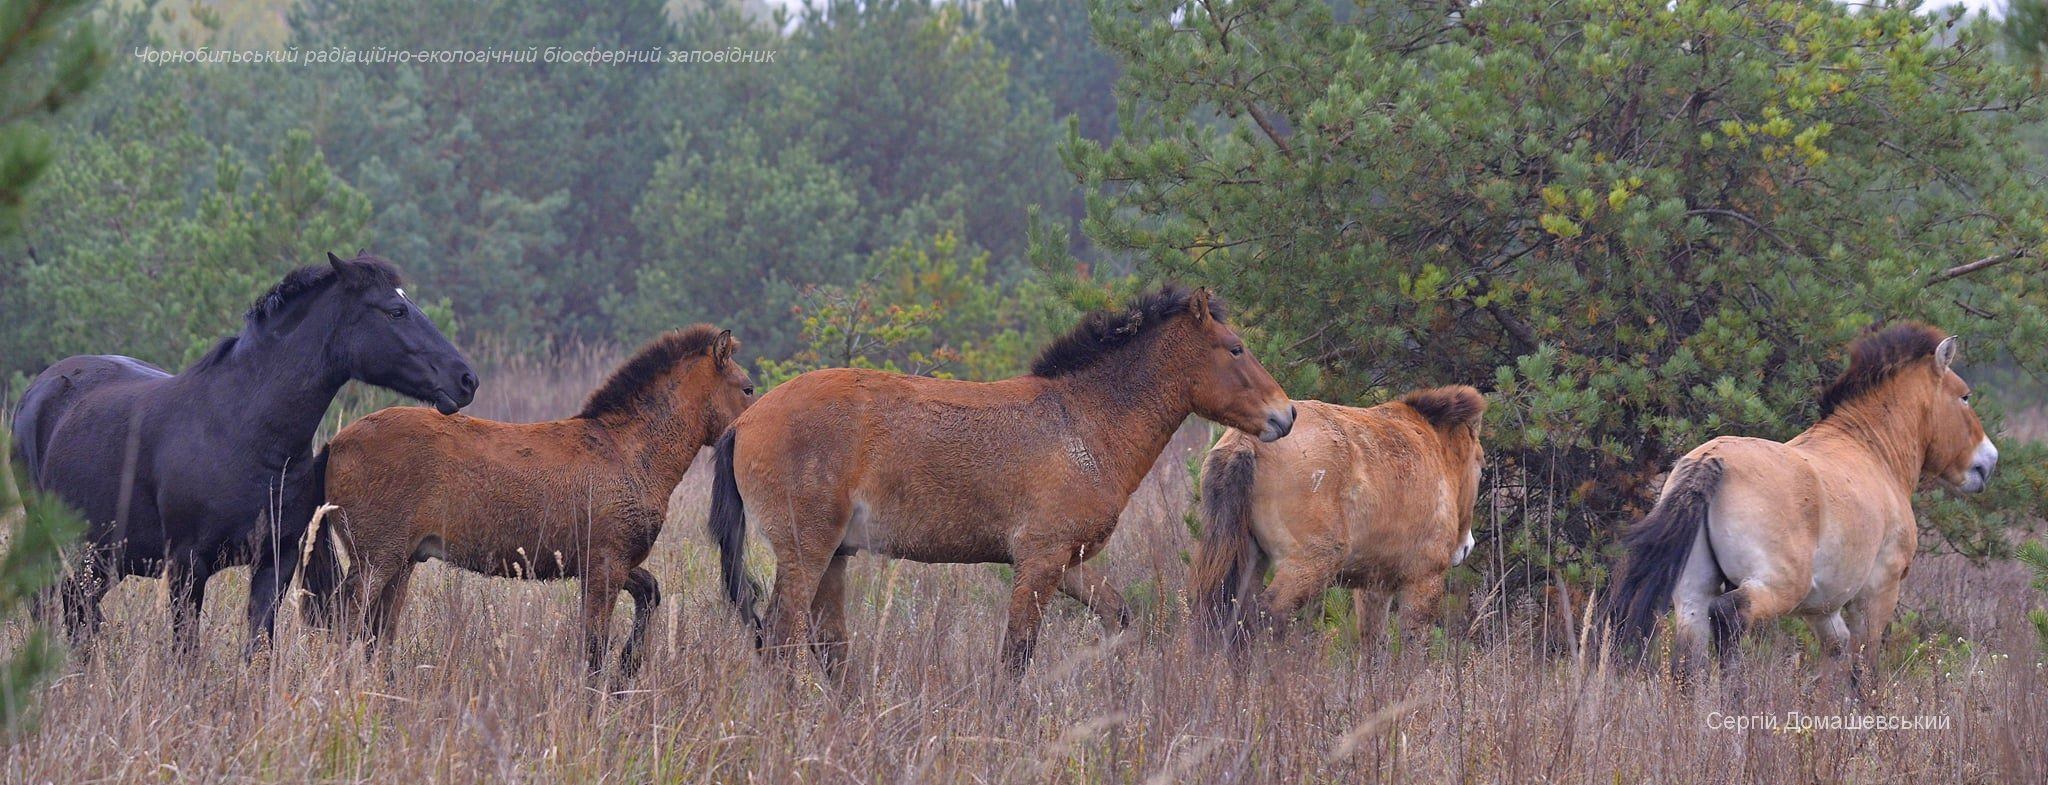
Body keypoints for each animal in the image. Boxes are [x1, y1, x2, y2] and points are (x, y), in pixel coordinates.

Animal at [9, 254, 477, 655]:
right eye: (395, 311)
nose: (465, 379)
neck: (242, 430)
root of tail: (38, 390)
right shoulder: (186, 568)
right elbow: (185, 654)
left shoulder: (275, 563)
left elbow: (258, 649)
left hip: (104, 558)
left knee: (78, 612)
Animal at [315, 325, 765, 676]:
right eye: (747, 388)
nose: (753, 431)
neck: (624, 450)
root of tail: (335, 444)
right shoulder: (605, 568)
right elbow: (593, 649)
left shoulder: (607, 564)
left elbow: (649, 594)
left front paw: (629, 667)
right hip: (377, 561)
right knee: (347, 620)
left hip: (402, 563)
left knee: (377, 636)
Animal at [708, 288, 1294, 676]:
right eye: (1235, 348)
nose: (1285, 415)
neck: (1080, 420)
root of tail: (746, 421)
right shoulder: (1039, 561)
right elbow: (1017, 655)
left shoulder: (1067, 562)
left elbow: (1118, 617)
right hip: (806, 551)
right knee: (782, 638)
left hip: (834, 557)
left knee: (827, 646)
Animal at [1187, 389, 1490, 651]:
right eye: (1481, 464)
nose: (1467, 545)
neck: (1431, 444)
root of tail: (1246, 441)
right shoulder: (1424, 580)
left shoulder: (1374, 587)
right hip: (1308, 566)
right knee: (1268, 616)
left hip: (1247, 562)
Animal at [1605, 323, 1990, 680]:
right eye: (1965, 397)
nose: (1987, 462)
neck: (1871, 451)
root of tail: (1711, 461)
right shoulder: (1877, 593)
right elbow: (1863, 672)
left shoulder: (1823, 610)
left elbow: (1835, 662)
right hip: (1778, 587)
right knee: (1730, 617)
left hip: (1691, 597)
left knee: (1689, 661)